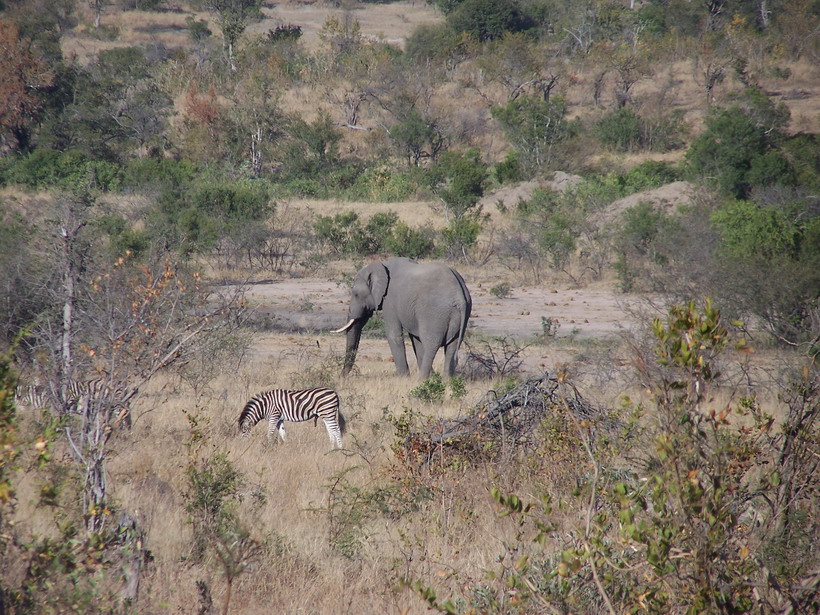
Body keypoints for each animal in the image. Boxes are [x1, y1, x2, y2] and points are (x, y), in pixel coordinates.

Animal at [334, 256, 474, 380]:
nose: (341, 378)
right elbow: (416, 340)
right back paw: (446, 381)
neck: (383, 265)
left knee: (431, 345)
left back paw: (422, 380)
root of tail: (459, 297)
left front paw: (403, 378)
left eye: (356, 294)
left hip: (435, 313)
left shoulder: (389, 300)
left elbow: (393, 335)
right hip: (459, 312)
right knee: (452, 346)